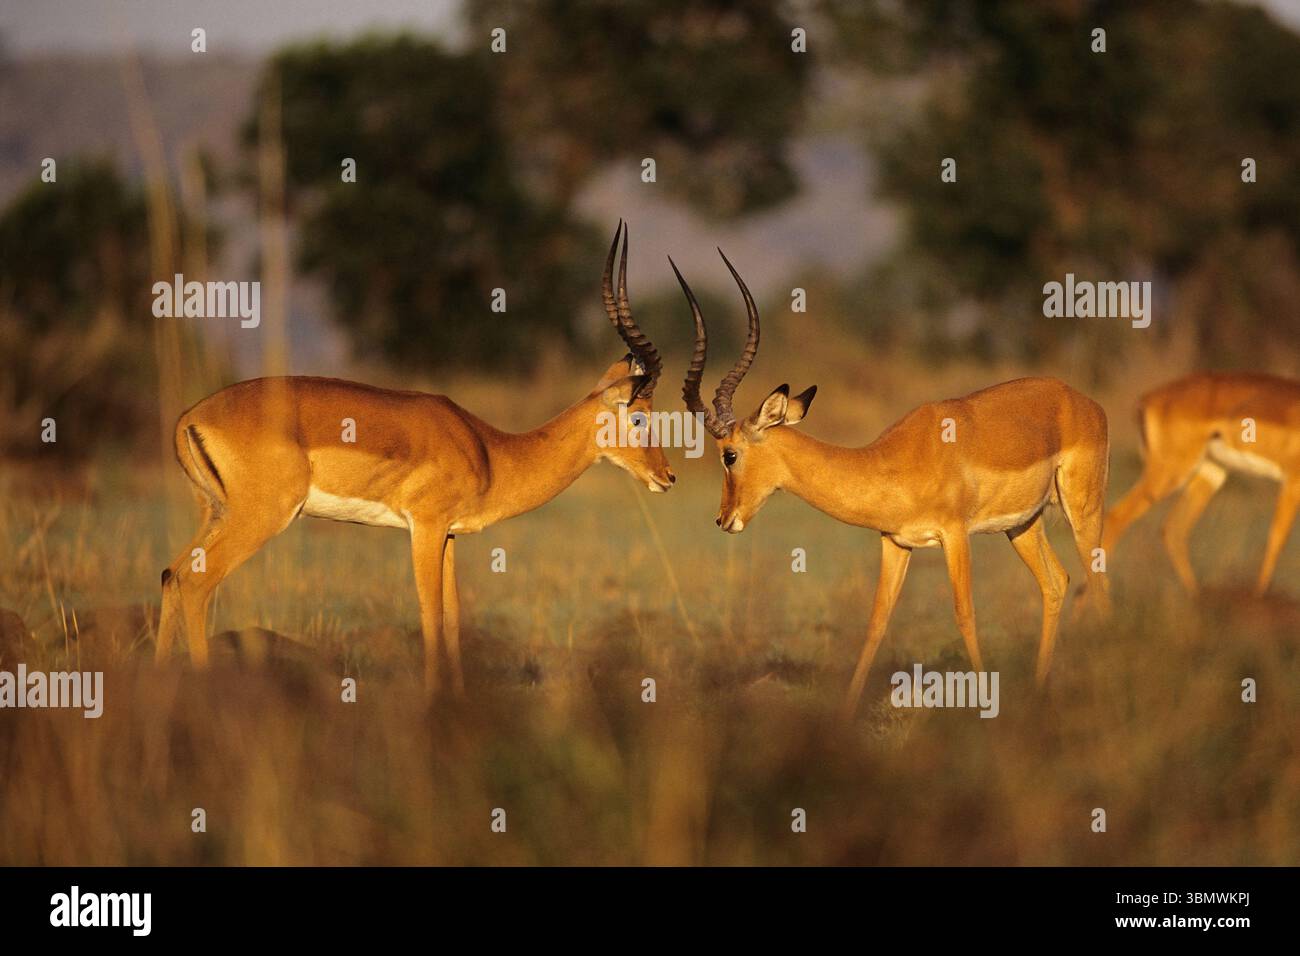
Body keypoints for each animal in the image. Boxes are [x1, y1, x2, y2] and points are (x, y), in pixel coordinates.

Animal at [157, 222, 675, 694]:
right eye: (639, 417)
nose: (667, 476)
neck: (489, 450)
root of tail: (190, 416)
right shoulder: (424, 527)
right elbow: (430, 614)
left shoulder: (448, 535)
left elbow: (453, 616)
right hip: (261, 517)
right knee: (197, 584)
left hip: (216, 512)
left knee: (172, 574)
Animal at [670, 251, 1112, 715]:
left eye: (729, 454)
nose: (723, 519)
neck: (887, 463)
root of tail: (1083, 400)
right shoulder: (895, 542)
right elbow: (877, 621)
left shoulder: (955, 535)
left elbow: (964, 613)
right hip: (1023, 525)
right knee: (1057, 583)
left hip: (1083, 510)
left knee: (1099, 583)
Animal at [1102, 372, 1300, 595]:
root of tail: (1147, 399)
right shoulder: (1293, 481)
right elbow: (1277, 540)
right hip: (1170, 473)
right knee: (1116, 518)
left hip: (1209, 474)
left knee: (1174, 530)